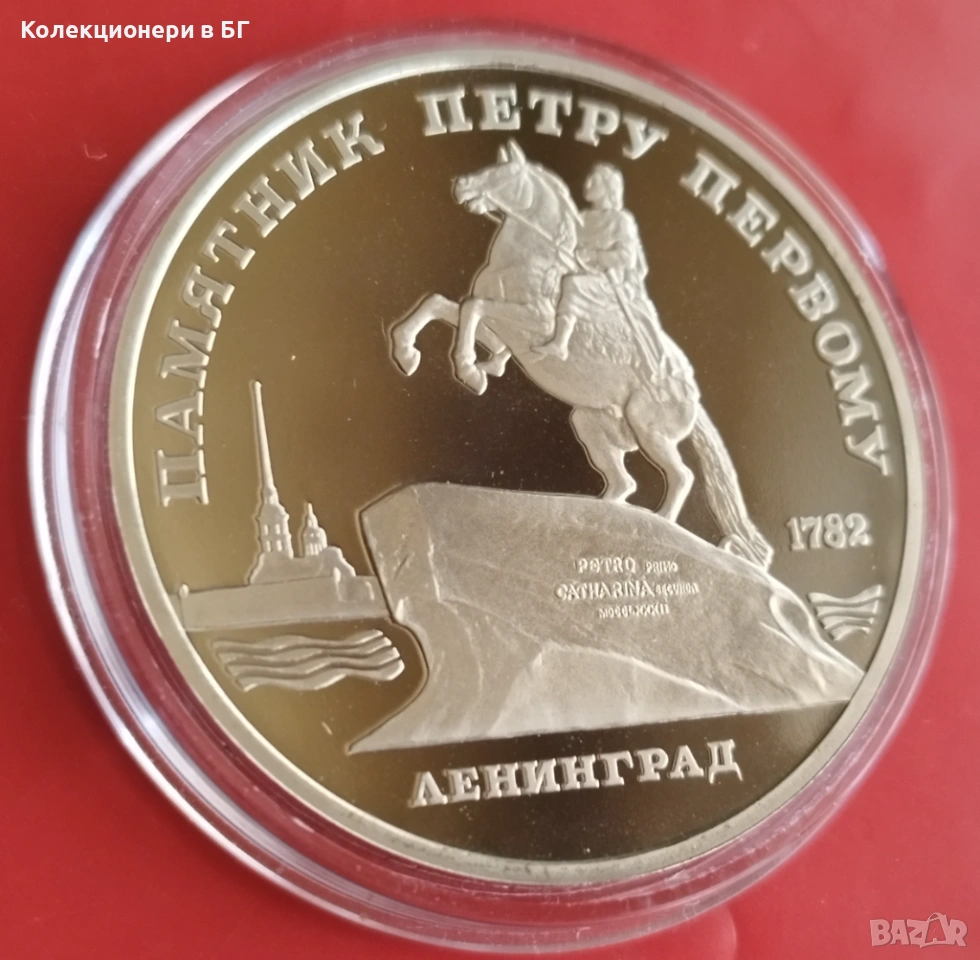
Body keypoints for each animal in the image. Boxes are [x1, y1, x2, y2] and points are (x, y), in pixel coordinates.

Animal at [390, 140, 773, 569]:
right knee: (624, 483)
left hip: (649, 430)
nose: (460, 186)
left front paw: (470, 370)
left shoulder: (529, 321)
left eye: (500, 173)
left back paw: (661, 524)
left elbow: (472, 308)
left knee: (680, 476)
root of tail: (692, 394)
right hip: (593, 424)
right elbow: (442, 306)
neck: (530, 260)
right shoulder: (504, 331)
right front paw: (409, 352)